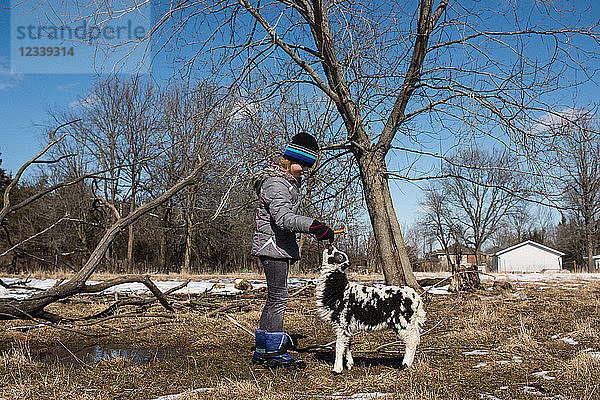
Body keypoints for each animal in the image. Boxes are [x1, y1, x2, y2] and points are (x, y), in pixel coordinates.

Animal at [314, 245, 426, 374]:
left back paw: (405, 364)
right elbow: (347, 343)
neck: (339, 288)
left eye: (340, 256)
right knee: (415, 339)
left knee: (411, 341)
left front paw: (337, 369)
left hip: (404, 322)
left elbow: (339, 346)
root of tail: (417, 298)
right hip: (410, 323)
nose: (330, 245)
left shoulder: (342, 321)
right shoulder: (347, 325)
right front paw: (349, 363)